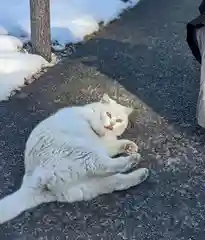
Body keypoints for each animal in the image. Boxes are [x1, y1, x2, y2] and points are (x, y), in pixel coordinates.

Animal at [0, 93, 149, 223]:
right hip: (84, 153)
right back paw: (133, 160)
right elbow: (97, 126)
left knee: (117, 180)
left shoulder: (106, 146)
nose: (111, 125)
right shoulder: (90, 120)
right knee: (107, 166)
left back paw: (141, 173)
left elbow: (117, 144)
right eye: (108, 114)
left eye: (119, 120)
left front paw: (129, 146)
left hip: (89, 183)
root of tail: (30, 181)